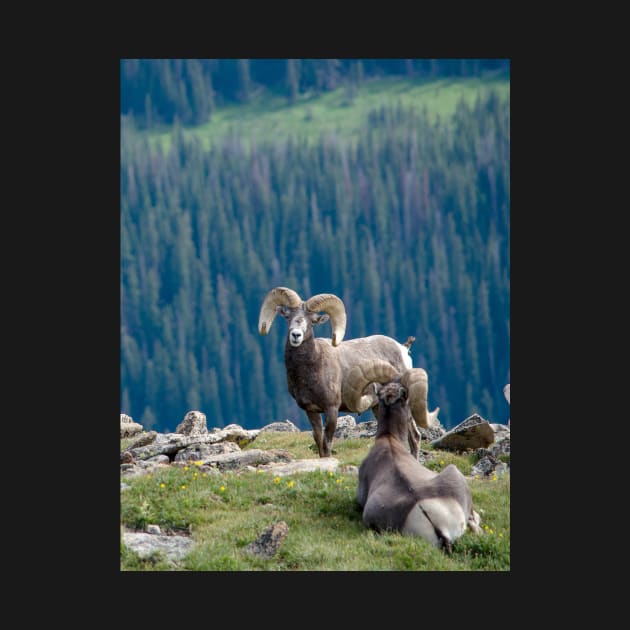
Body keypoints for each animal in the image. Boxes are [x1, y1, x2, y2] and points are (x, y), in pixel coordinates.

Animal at [256, 288, 440, 460]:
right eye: (288, 317)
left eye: (313, 321)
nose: (296, 335)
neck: (309, 371)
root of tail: (403, 348)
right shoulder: (311, 410)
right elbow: (318, 441)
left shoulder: (332, 409)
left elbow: (327, 443)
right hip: (377, 407)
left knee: (414, 437)